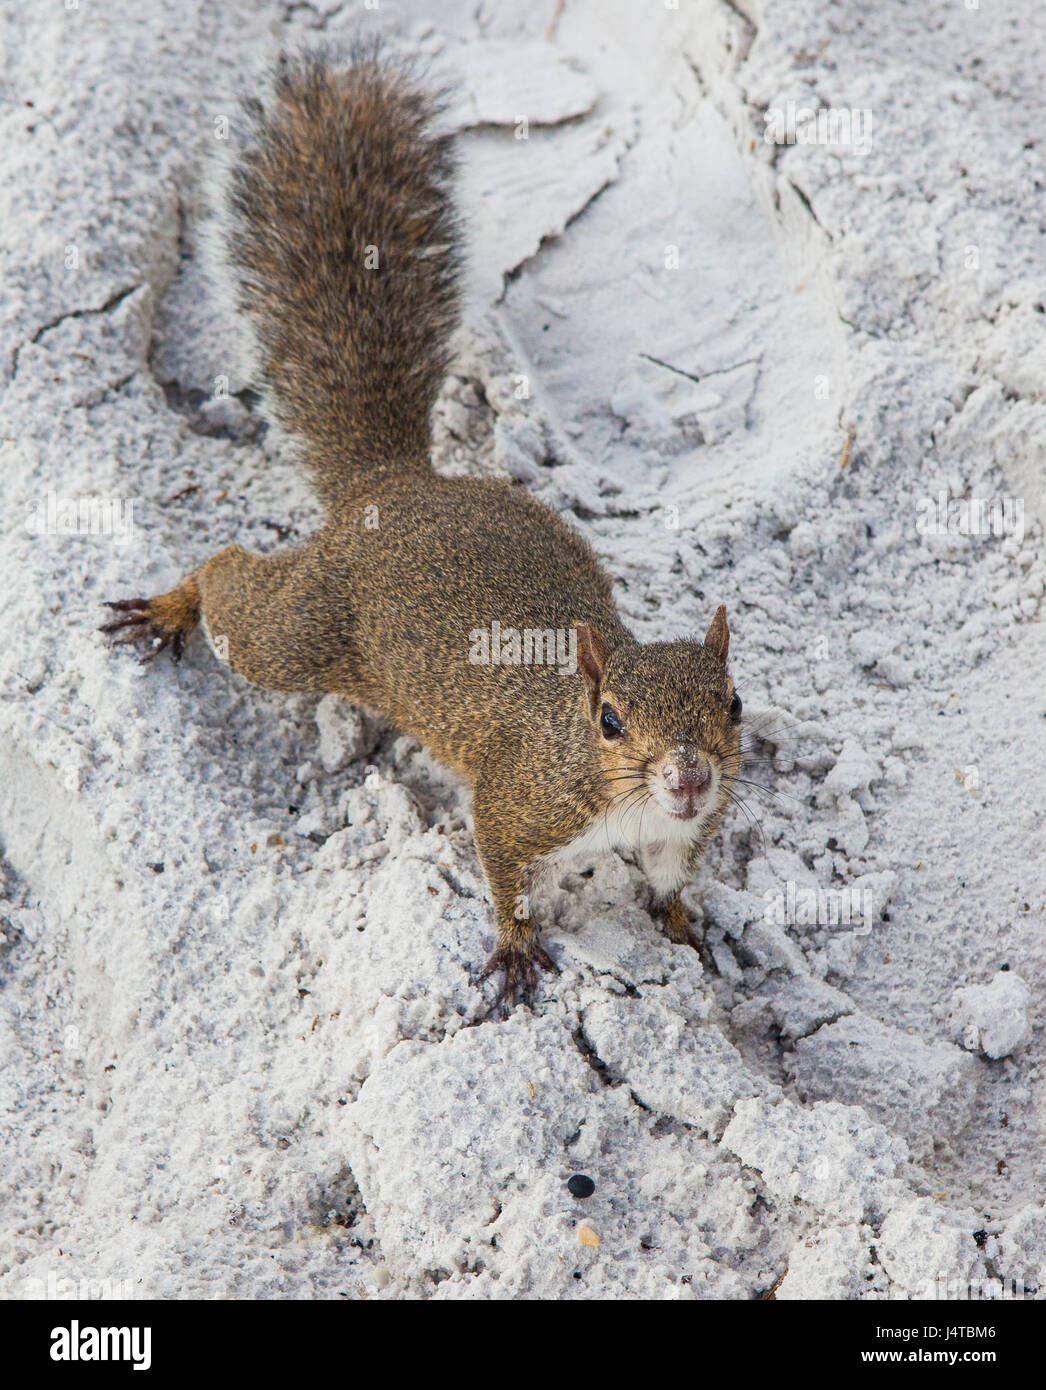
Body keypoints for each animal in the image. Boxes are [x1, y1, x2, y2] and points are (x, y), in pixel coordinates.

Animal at [101, 44, 744, 1002]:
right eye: (610, 723)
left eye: (735, 703)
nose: (693, 778)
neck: (626, 804)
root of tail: (389, 484)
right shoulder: (519, 801)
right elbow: (503, 870)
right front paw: (514, 946)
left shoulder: (680, 837)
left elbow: (669, 886)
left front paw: (685, 929)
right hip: (301, 629)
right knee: (230, 582)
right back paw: (172, 604)